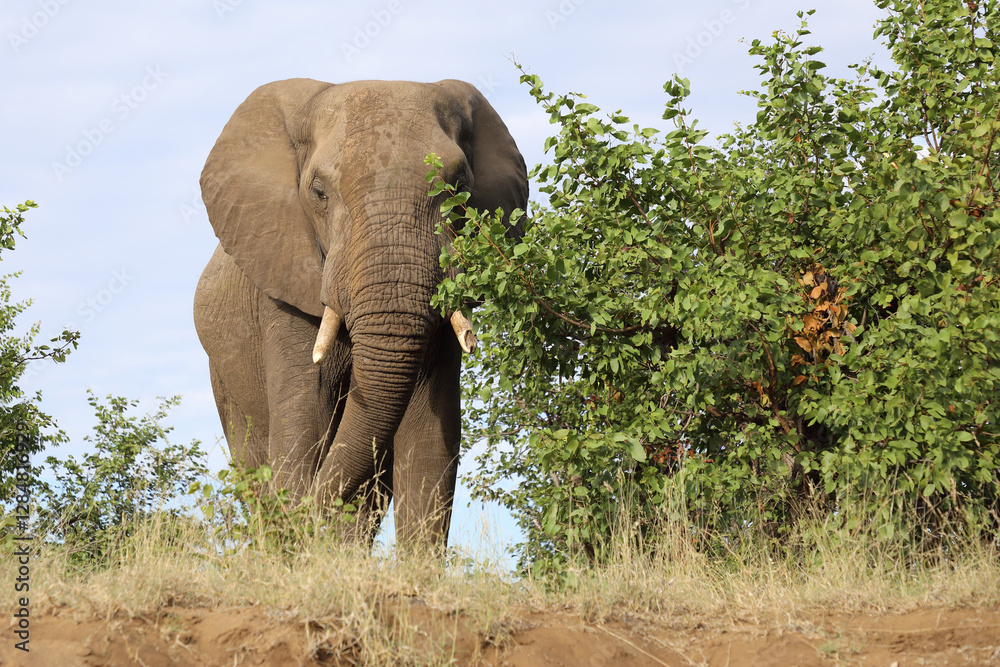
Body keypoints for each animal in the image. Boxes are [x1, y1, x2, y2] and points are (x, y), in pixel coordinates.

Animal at [193, 78, 528, 551]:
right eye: (318, 193)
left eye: (459, 186)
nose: (306, 521)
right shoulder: (283, 290)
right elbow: (305, 424)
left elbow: (430, 440)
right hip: (224, 378)